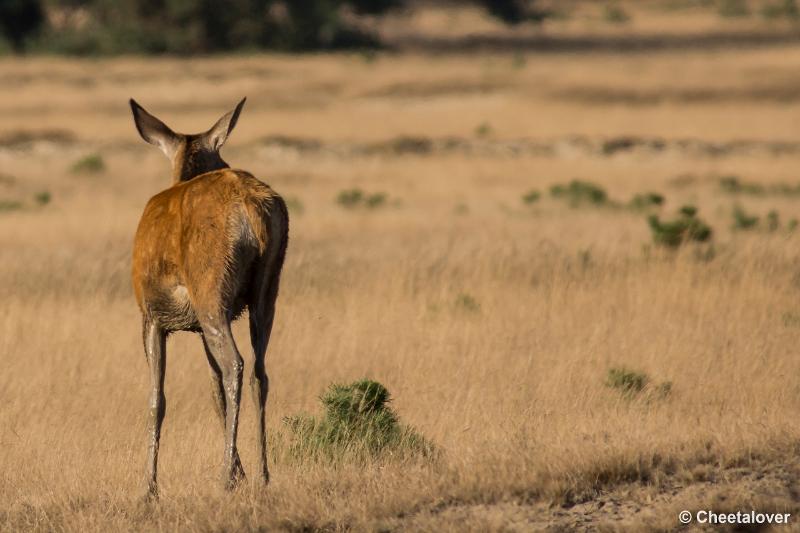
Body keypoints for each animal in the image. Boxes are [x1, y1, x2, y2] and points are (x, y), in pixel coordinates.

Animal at [126, 96, 286, 498]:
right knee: (259, 371)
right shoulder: (197, 326)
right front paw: (243, 470)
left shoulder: (151, 316)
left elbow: (157, 399)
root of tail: (251, 209)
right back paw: (263, 474)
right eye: (220, 155)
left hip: (211, 291)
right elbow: (213, 392)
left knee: (236, 364)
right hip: (266, 291)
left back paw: (224, 478)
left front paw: (149, 487)